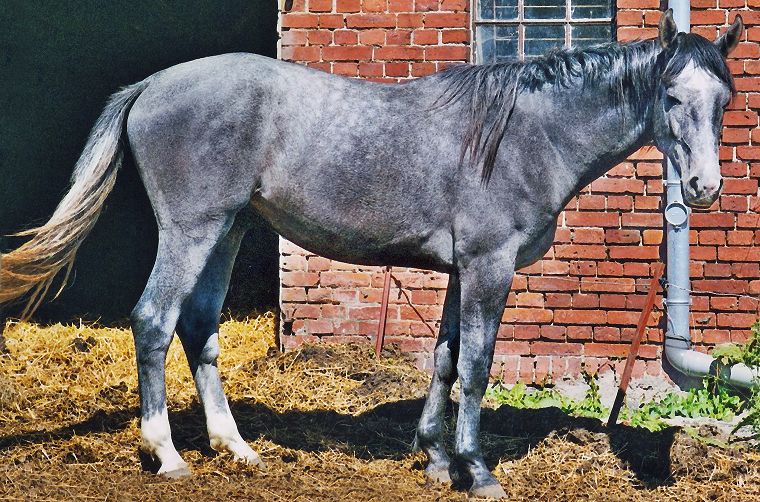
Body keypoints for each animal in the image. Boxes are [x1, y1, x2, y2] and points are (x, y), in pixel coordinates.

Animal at [1, 11, 744, 498]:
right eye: (671, 97)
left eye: (724, 100)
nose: (704, 188)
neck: (524, 133)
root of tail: (151, 86)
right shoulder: (489, 267)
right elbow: (476, 367)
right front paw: (477, 471)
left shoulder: (461, 272)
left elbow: (443, 361)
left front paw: (435, 458)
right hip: (192, 229)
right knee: (154, 322)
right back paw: (167, 453)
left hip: (226, 230)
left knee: (199, 329)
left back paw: (236, 449)